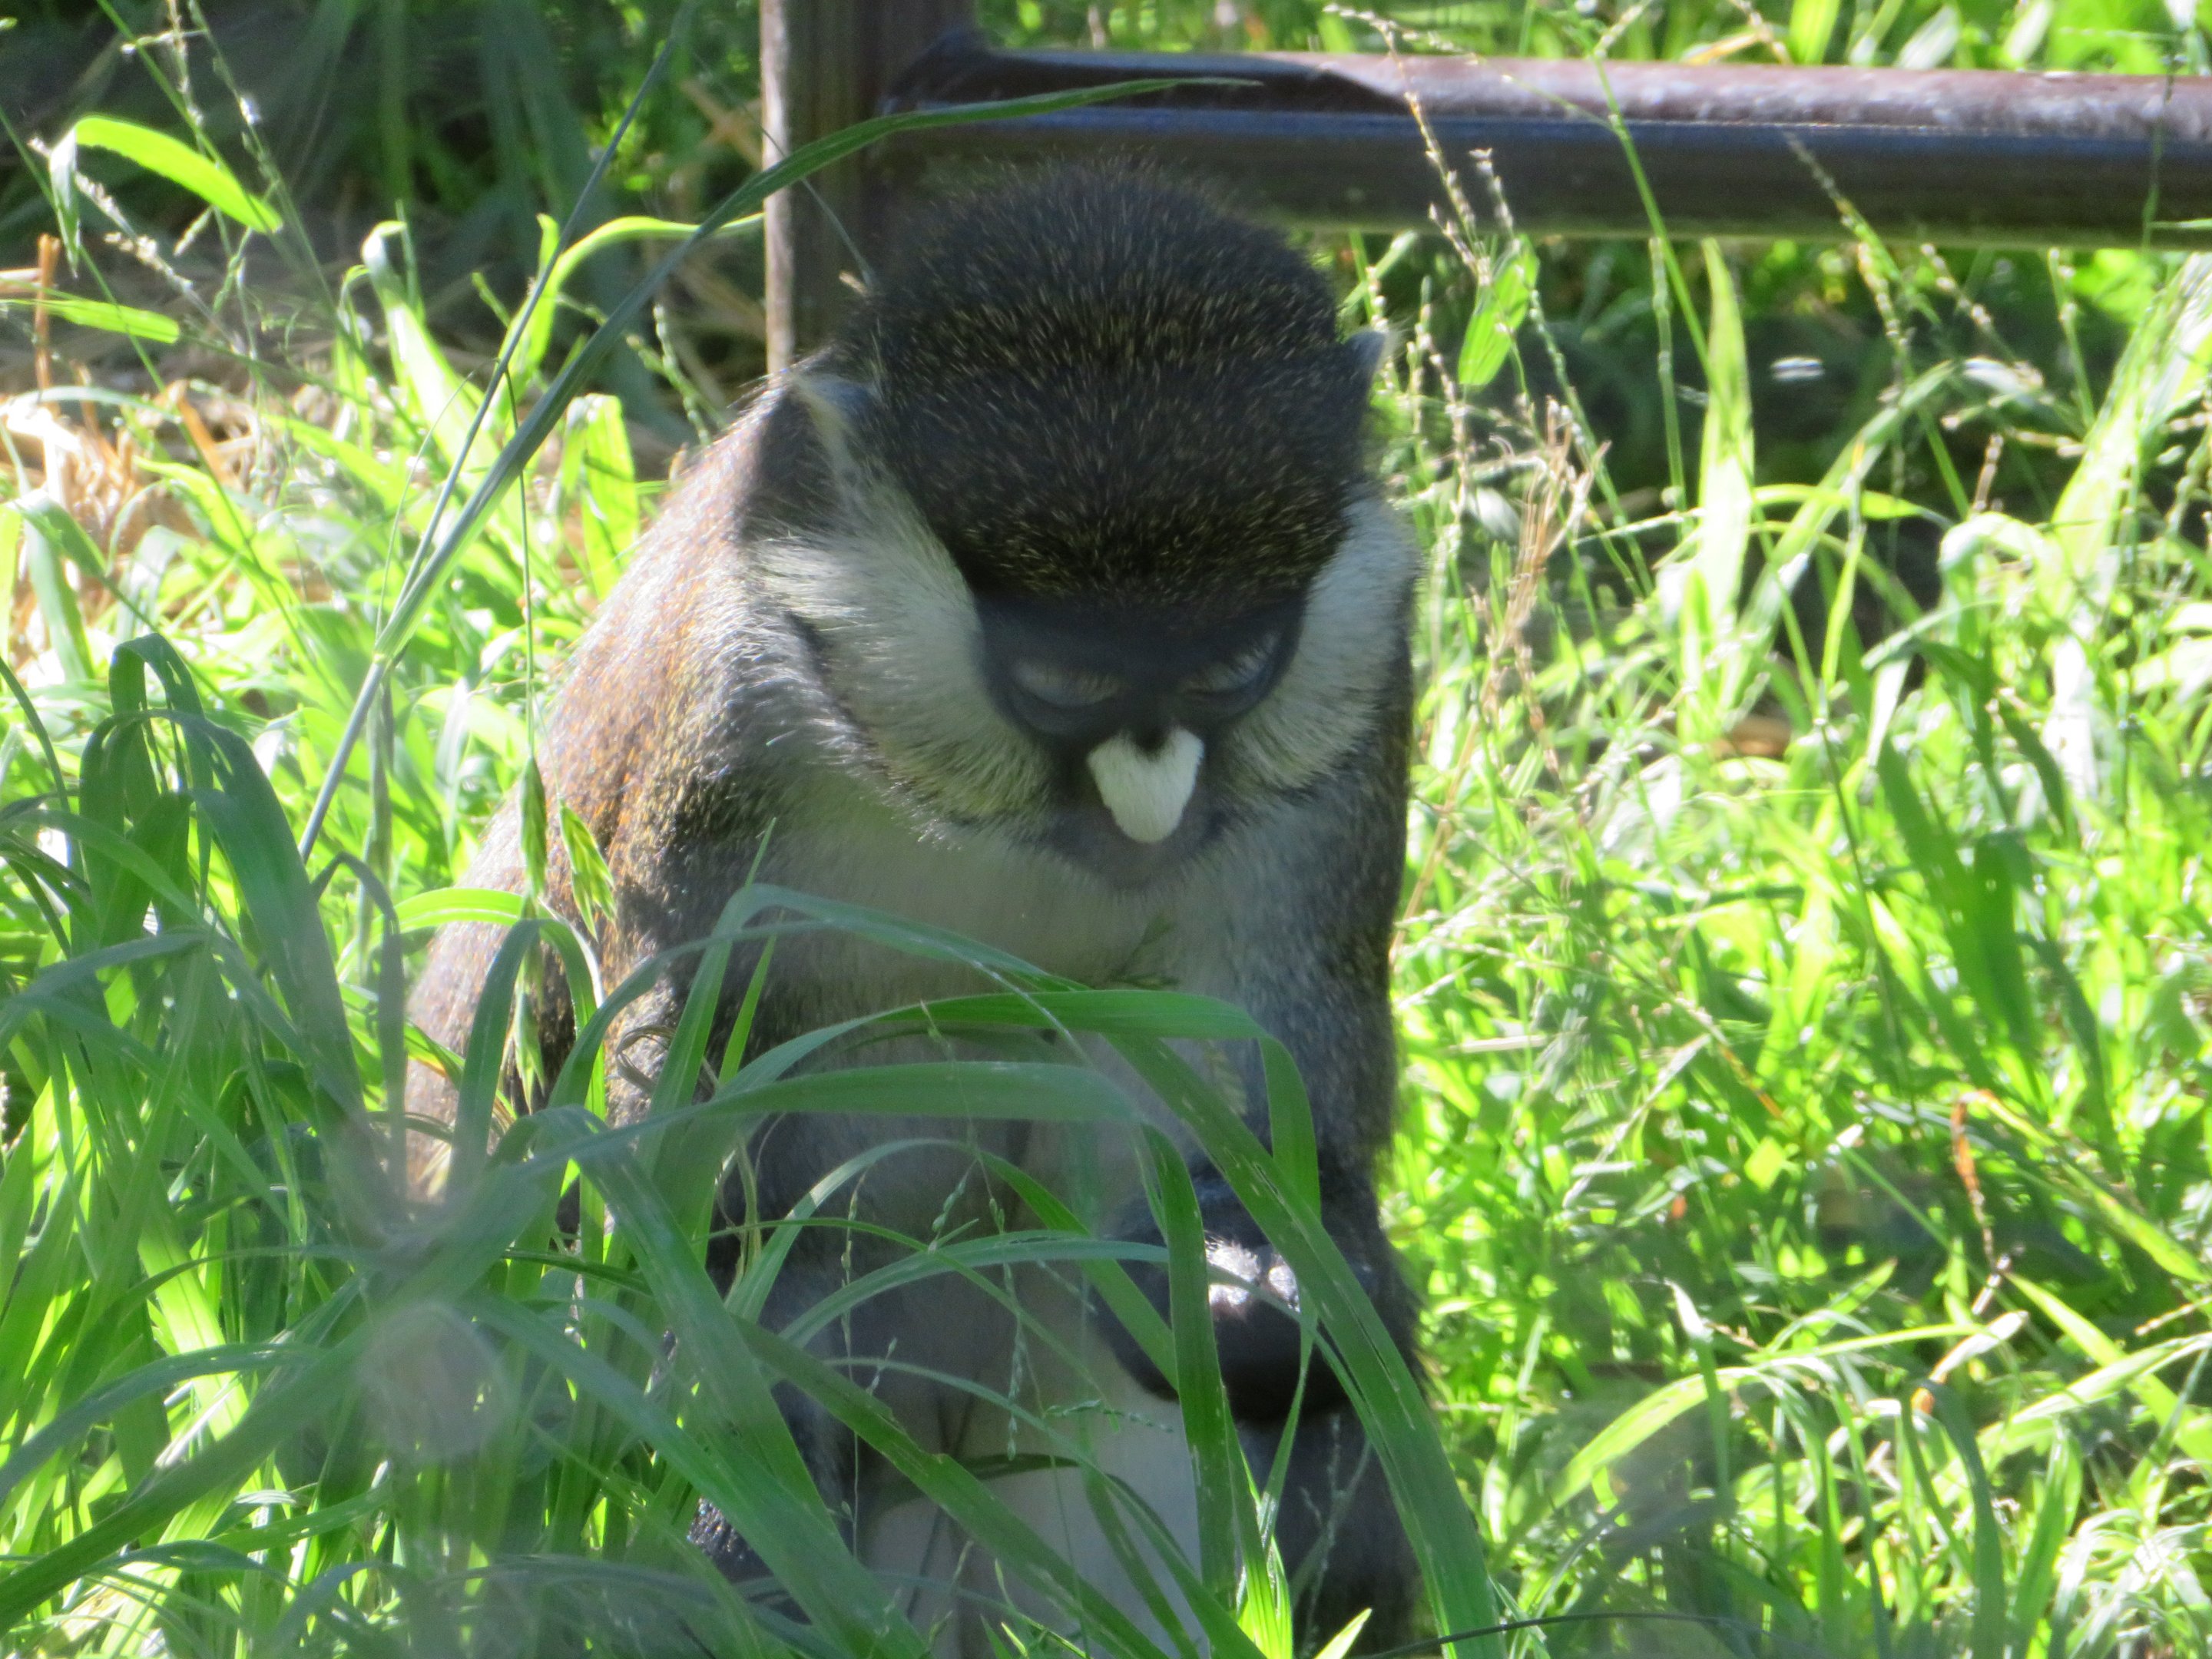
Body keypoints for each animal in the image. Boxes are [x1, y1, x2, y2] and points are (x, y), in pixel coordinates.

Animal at [408, 169, 1424, 1657]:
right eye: (1061, 676)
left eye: (1235, 665)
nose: (1152, 805)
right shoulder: (721, 732)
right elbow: (686, 1174)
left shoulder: (1350, 713)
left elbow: (1275, 1108)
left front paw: (1253, 1291)